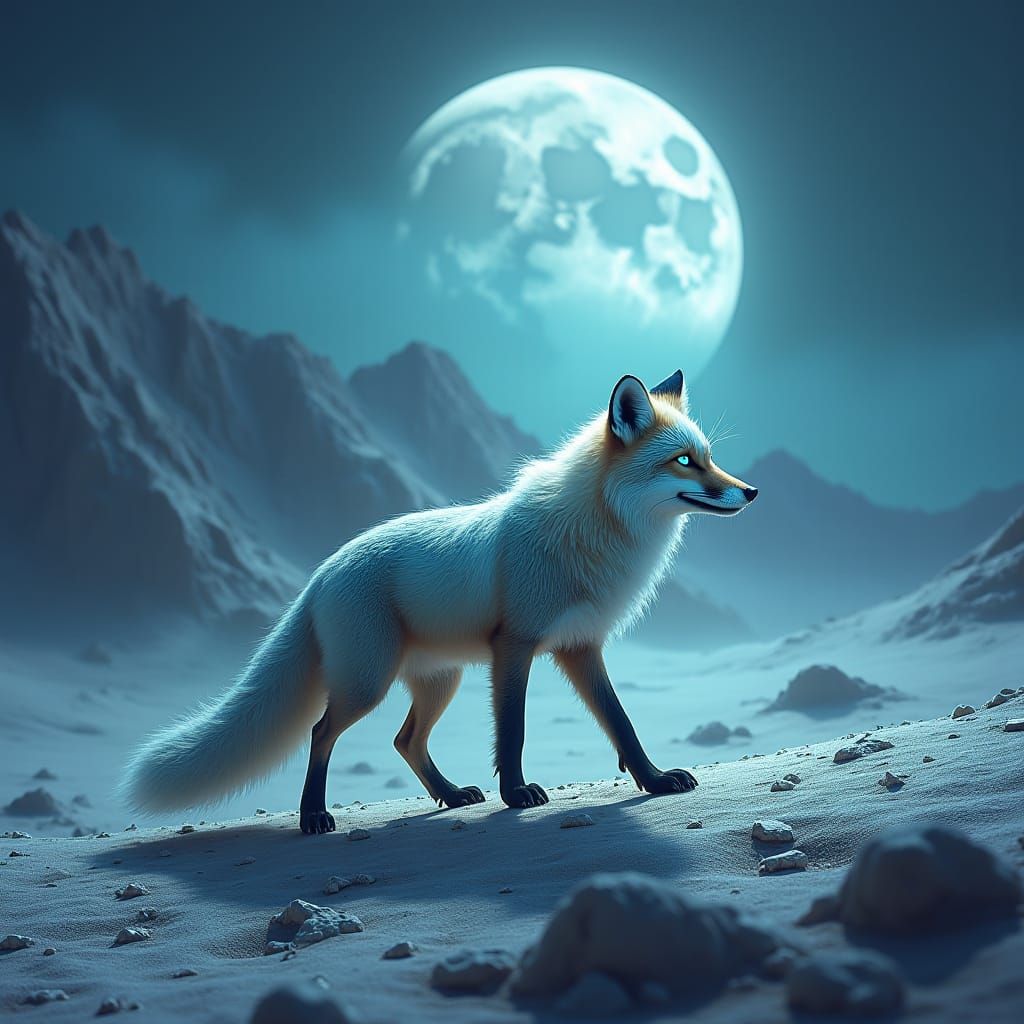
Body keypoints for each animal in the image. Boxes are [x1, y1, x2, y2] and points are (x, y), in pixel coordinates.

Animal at [120, 371, 758, 834]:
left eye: (707, 456)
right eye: (684, 460)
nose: (750, 492)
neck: (593, 533)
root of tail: (321, 573)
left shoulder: (580, 646)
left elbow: (622, 724)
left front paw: (653, 779)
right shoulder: (515, 644)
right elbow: (513, 731)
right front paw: (516, 795)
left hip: (438, 680)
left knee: (405, 740)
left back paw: (450, 796)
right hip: (368, 681)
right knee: (322, 732)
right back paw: (313, 817)